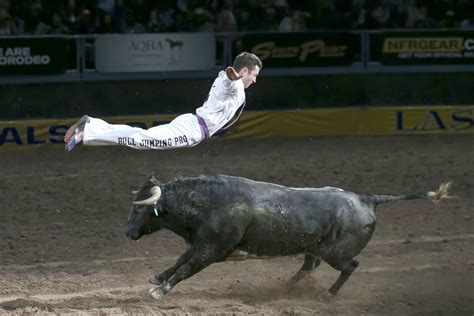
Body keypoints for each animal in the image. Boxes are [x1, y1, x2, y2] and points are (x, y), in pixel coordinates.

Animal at [124, 174, 450, 300]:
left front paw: (160, 290)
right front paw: (157, 278)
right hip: (315, 248)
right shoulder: (202, 243)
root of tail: (366, 199)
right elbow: (179, 261)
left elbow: (187, 268)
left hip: (336, 253)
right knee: (308, 266)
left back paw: (328, 295)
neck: (211, 202)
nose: (128, 232)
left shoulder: (213, 249)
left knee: (349, 267)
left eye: (140, 209)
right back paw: (287, 288)